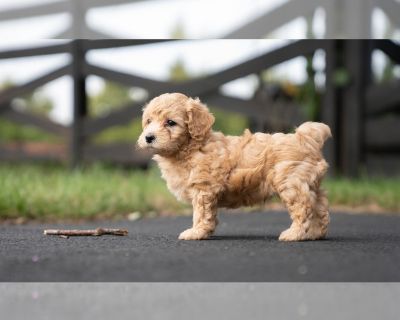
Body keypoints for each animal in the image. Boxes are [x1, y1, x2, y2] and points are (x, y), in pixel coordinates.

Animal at [138, 92, 332, 240]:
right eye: (148, 121)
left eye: (171, 122)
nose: (148, 137)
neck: (191, 148)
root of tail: (306, 138)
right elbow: (209, 215)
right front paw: (205, 232)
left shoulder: (203, 189)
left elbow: (200, 213)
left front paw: (195, 232)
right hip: (309, 184)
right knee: (320, 208)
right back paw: (314, 233)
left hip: (291, 183)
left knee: (303, 208)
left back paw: (294, 234)